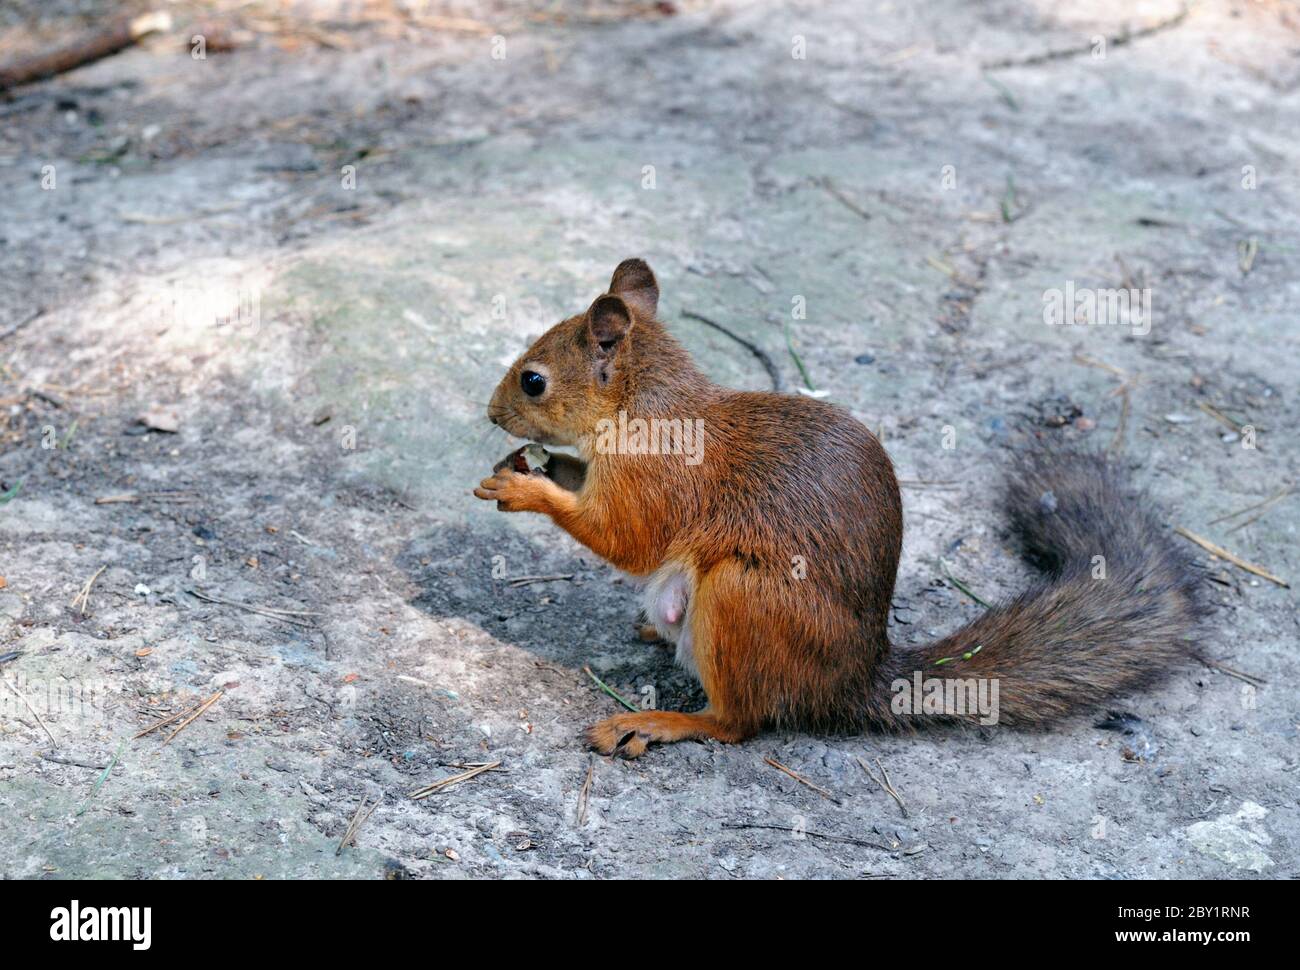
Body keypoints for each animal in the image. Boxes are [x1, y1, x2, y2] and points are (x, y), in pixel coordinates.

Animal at [473, 257, 1201, 754]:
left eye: (533, 381)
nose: (491, 414)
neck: (642, 407)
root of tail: (854, 683)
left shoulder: (659, 481)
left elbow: (625, 538)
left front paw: (522, 488)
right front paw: (534, 465)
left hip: (743, 597)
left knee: (738, 723)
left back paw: (658, 721)